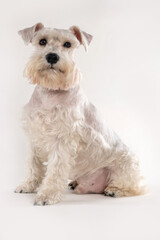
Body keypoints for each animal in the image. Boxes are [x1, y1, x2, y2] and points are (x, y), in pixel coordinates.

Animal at [15, 22, 146, 205]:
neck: (51, 91)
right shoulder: (34, 136)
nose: (52, 57)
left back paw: (114, 190)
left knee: (135, 186)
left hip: (126, 163)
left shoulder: (62, 140)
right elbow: (32, 165)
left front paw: (46, 195)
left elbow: (55, 170)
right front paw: (27, 185)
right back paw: (75, 183)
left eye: (67, 44)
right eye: (42, 41)